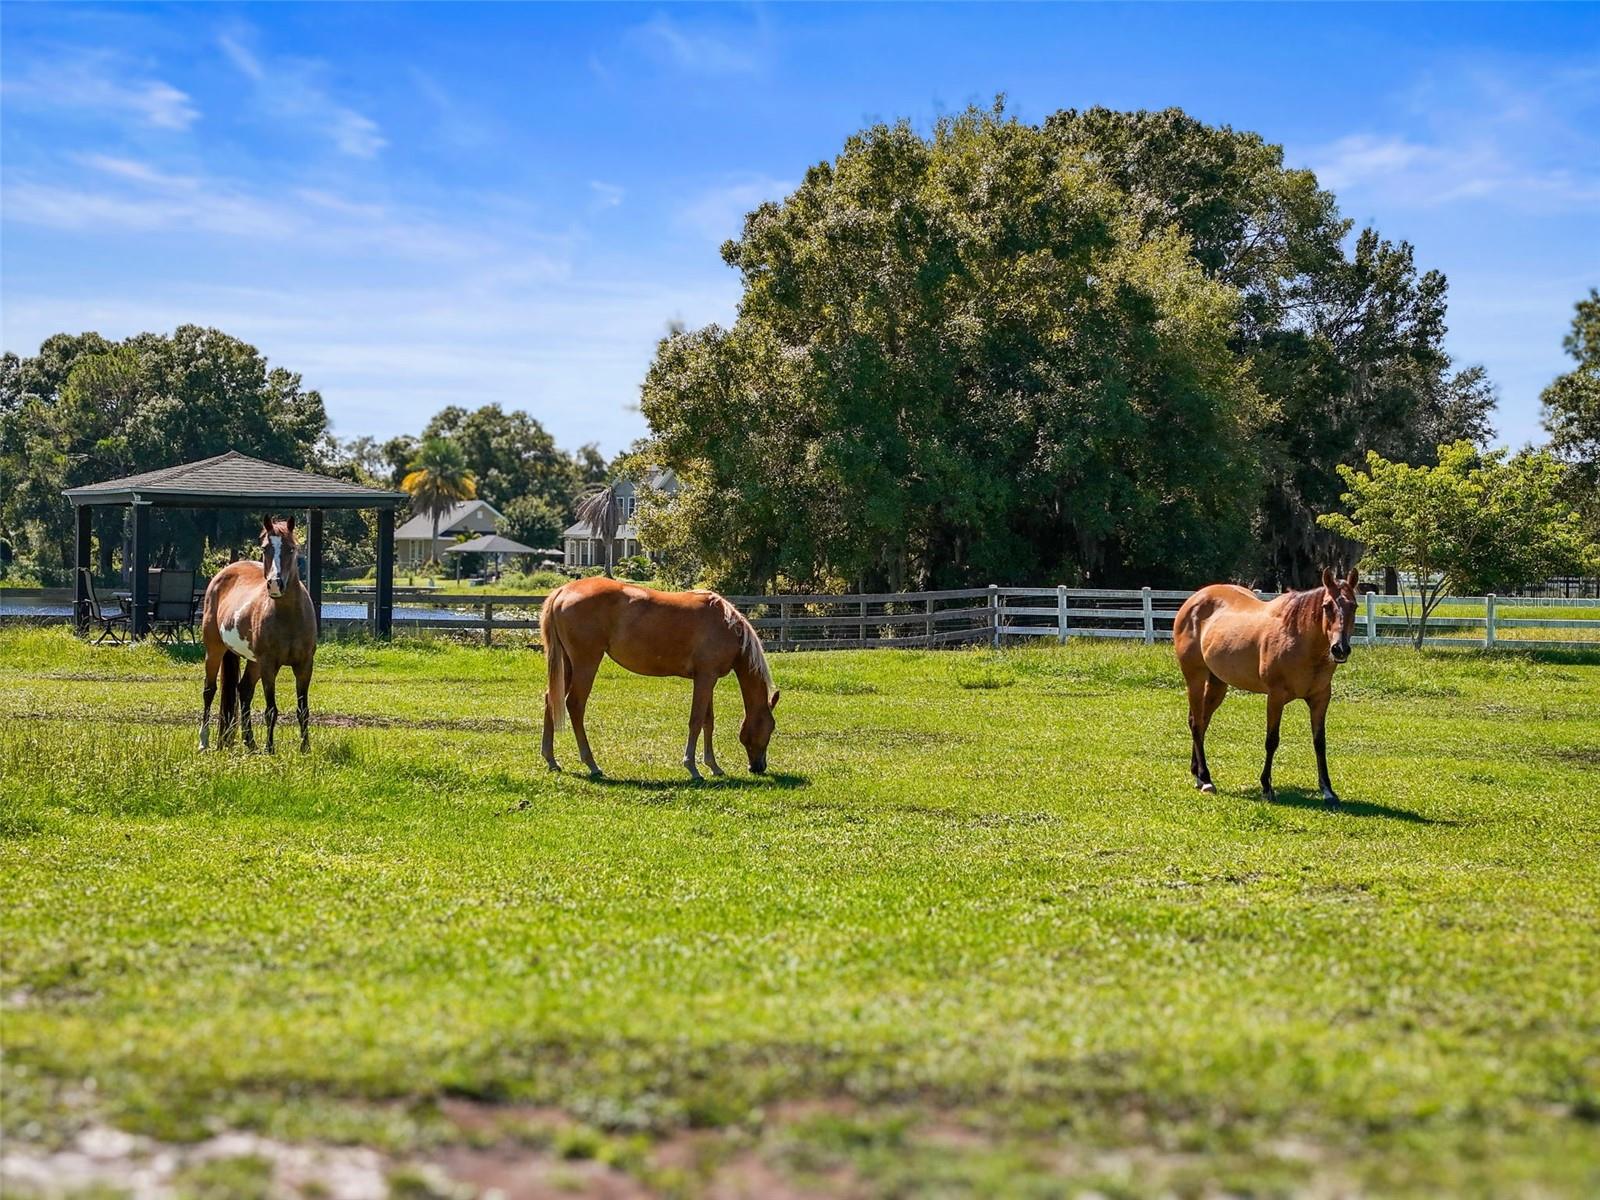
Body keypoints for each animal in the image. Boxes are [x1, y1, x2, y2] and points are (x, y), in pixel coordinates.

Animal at [200, 515, 318, 752]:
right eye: (265, 548)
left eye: (291, 548)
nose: (275, 584)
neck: (288, 617)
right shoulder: (269, 665)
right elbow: (271, 710)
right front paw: (270, 749)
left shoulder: (304, 665)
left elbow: (303, 710)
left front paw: (305, 749)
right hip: (215, 650)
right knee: (209, 690)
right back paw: (204, 742)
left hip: (253, 661)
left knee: (244, 690)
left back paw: (251, 744)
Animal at [540, 579, 784, 784]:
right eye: (771, 727)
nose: (758, 767)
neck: (726, 625)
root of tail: (563, 591)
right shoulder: (705, 678)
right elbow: (696, 721)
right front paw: (692, 767)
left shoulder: (708, 679)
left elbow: (708, 721)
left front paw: (714, 766)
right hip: (586, 663)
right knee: (575, 704)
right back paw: (591, 764)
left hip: (567, 664)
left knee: (551, 698)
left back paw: (551, 760)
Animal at [1171, 569, 1356, 809]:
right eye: (1326, 606)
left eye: (1354, 606)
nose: (1340, 649)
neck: (1299, 638)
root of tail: (1193, 601)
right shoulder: (1275, 697)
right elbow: (1272, 741)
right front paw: (1267, 788)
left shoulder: (1320, 699)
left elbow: (1319, 743)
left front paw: (1328, 792)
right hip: (1195, 677)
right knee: (1196, 724)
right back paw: (1206, 779)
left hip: (1217, 683)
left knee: (1201, 722)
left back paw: (1198, 775)